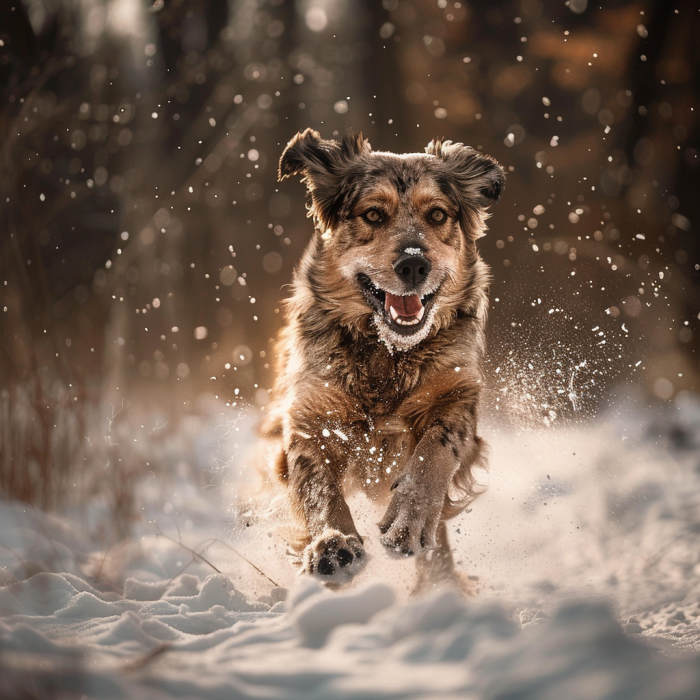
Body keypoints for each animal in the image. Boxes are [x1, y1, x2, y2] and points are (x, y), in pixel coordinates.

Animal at [258, 130, 504, 592]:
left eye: (438, 214)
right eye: (373, 214)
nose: (413, 263)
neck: (388, 356)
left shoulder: (456, 395)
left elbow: (434, 452)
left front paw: (410, 520)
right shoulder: (310, 416)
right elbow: (317, 486)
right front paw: (333, 544)